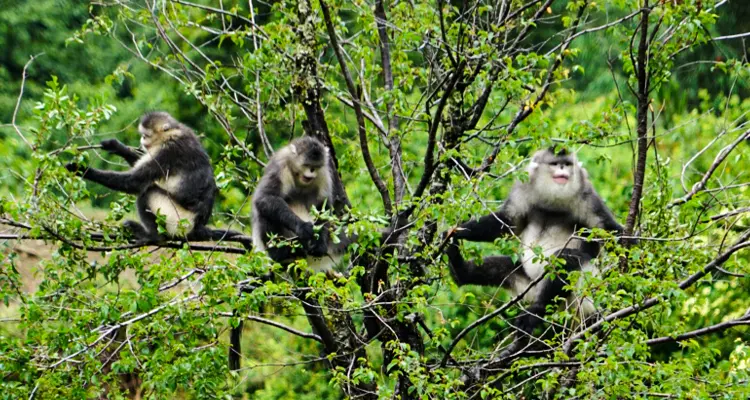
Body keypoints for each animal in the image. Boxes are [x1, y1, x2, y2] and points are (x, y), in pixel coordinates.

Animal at [65, 111, 242, 243]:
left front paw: (82, 170)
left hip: (177, 221)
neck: (173, 132)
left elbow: (135, 182)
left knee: (147, 191)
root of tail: (197, 227)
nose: (142, 140)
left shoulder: (168, 150)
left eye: (146, 135)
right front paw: (116, 146)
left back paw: (152, 237)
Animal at [445, 148, 626, 360]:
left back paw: (536, 312)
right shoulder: (522, 190)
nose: (563, 169)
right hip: (528, 286)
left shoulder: (588, 198)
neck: (553, 201)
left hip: (583, 288)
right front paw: (458, 231)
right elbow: (506, 223)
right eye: (555, 164)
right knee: (505, 267)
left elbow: (613, 232)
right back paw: (460, 270)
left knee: (567, 258)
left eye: (567, 164)